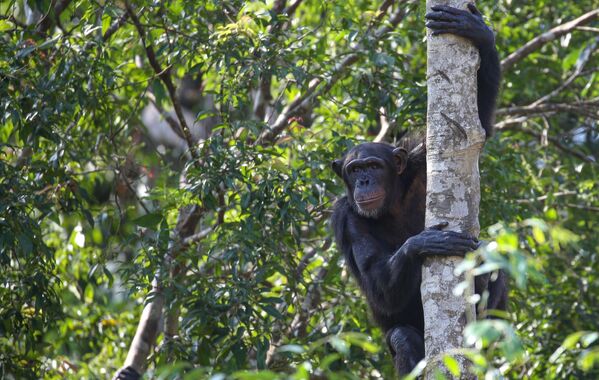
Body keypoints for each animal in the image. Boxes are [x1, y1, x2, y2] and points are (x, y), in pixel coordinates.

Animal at [332, 3, 506, 378]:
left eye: (373, 167)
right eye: (354, 170)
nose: (364, 181)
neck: (392, 201)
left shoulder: (422, 158)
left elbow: (479, 127)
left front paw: (477, 31)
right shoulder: (345, 219)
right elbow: (378, 286)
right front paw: (425, 242)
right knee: (401, 337)